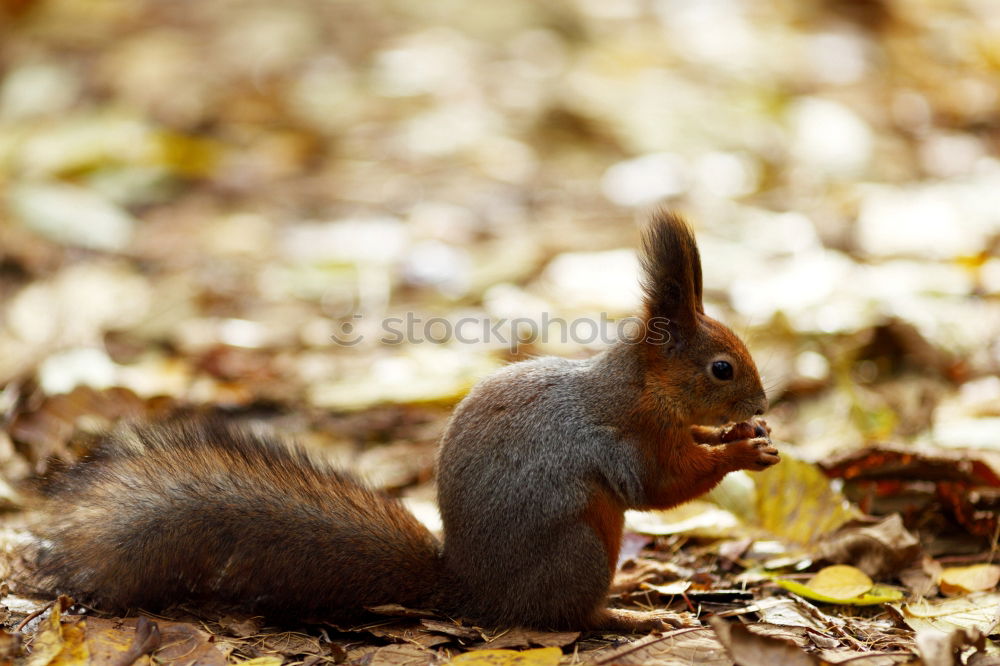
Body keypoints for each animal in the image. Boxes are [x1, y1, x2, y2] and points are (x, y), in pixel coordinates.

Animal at [31, 210, 776, 632]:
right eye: (722, 369)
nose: (763, 407)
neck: (638, 388)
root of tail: (475, 592)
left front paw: (740, 438)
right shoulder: (625, 437)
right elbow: (662, 486)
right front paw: (743, 453)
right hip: (581, 549)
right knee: (569, 617)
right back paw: (624, 613)